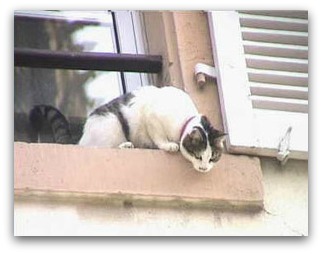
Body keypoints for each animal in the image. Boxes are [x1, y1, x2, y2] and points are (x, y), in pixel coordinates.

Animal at [29, 86, 226, 173]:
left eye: (213, 157)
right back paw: (125, 146)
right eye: (198, 156)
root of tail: (81, 140)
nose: (204, 168)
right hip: (111, 125)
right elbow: (159, 136)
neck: (186, 117)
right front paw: (168, 145)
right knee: (100, 147)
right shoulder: (152, 116)